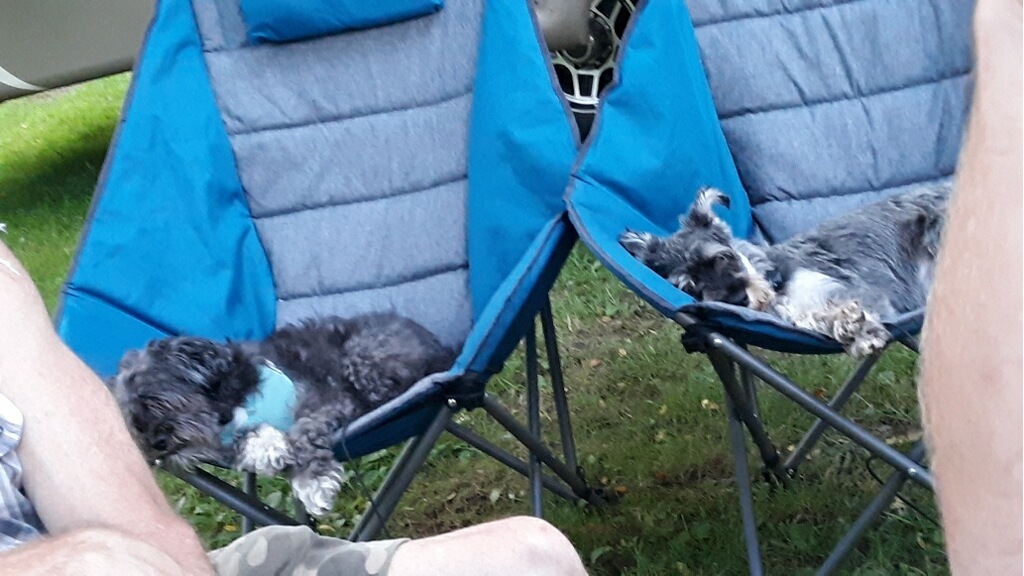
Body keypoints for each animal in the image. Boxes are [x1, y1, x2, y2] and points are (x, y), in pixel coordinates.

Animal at [109, 311, 456, 512]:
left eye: (152, 399)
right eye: (133, 422)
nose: (156, 445)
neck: (228, 402)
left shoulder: (325, 401)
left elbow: (303, 432)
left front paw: (313, 481)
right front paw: (265, 447)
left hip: (364, 357)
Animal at [618, 182, 946, 354]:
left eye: (723, 256)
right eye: (688, 285)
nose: (739, 300)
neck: (775, 281)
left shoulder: (859, 294)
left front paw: (860, 329)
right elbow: (819, 318)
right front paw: (849, 328)